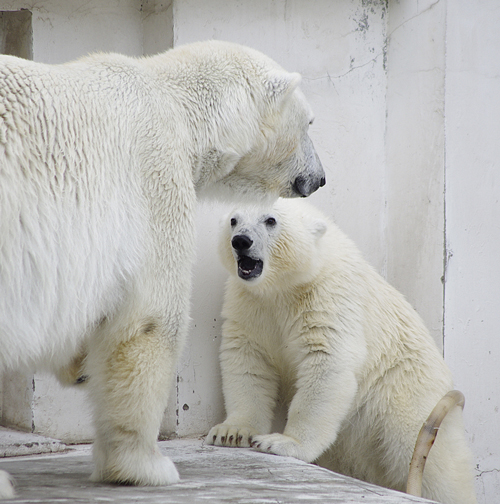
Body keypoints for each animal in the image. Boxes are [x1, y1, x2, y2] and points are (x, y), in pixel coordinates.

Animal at [0, 40, 324, 496]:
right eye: (310, 121)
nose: (320, 178)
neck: (178, 106)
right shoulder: (155, 180)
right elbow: (151, 318)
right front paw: (144, 466)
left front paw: (79, 364)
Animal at [209, 201, 478, 504]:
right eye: (233, 220)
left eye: (270, 220)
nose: (241, 241)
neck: (286, 287)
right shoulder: (249, 304)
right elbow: (246, 360)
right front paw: (232, 432)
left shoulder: (328, 298)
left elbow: (327, 362)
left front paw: (283, 442)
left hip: (406, 394)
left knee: (432, 463)